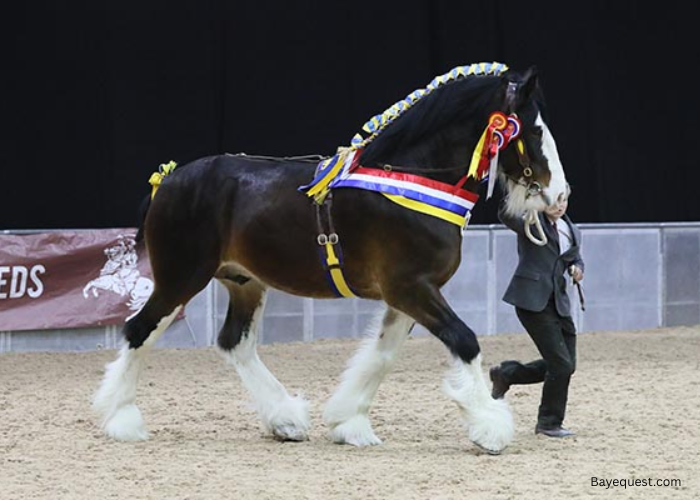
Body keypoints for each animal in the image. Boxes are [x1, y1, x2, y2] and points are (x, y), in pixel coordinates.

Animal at [92, 62, 568, 454]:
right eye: (534, 131)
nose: (560, 196)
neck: (411, 180)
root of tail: (169, 179)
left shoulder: (406, 295)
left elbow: (382, 356)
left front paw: (348, 423)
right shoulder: (410, 288)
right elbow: (465, 341)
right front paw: (490, 429)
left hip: (243, 281)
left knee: (234, 342)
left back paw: (284, 420)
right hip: (181, 276)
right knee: (139, 330)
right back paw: (121, 420)